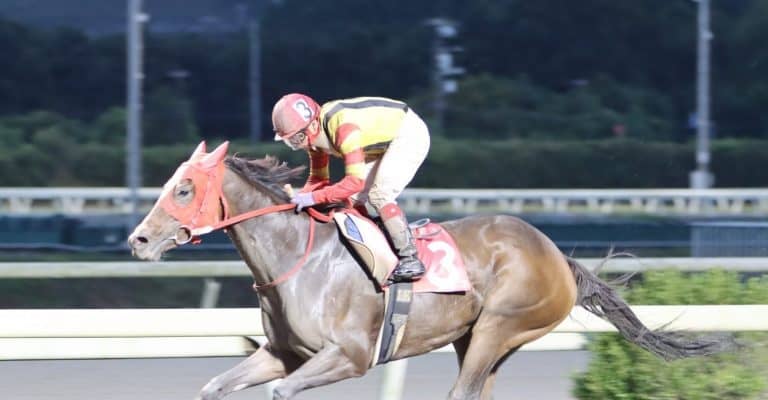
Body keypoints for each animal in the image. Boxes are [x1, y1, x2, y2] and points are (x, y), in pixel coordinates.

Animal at [127, 141, 731, 400]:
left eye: (184, 188)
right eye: (169, 184)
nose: (139, 240)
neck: (299, 257)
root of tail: (557, 255)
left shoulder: (349, 357)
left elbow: (284, 392)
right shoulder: (282, 355)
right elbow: (214, 386)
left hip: (500, 327)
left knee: (463, 394)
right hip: (478, 338)